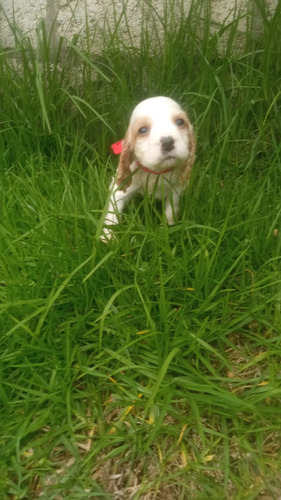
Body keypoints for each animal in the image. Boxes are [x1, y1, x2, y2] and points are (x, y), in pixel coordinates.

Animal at [101, 97, 196, 240]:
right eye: (142, 130)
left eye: (180, 122)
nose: (167, 142)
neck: (156, 171)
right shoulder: (121, 189)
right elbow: (113, 211)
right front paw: (107, 236)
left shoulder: (176, 189)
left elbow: (171, 210)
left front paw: (166, 229)